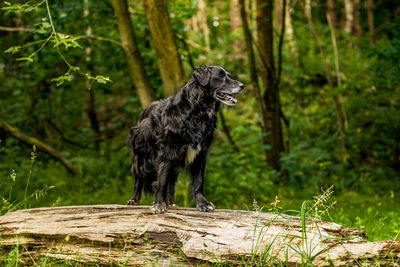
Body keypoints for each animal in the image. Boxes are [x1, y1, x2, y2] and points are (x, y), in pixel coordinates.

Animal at [127, 66, 244, 215]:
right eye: (220, 76)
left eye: (228, 75)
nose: (242, 86)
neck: (198, 111)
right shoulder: (167, 153)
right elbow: (161, 181)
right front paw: (159, 204)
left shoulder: (200, 154)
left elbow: (198, 182)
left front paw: (203, 203)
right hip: (142, 157)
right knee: (139, 179)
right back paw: (134, 200)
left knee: (171, 183)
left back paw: (171, 203)